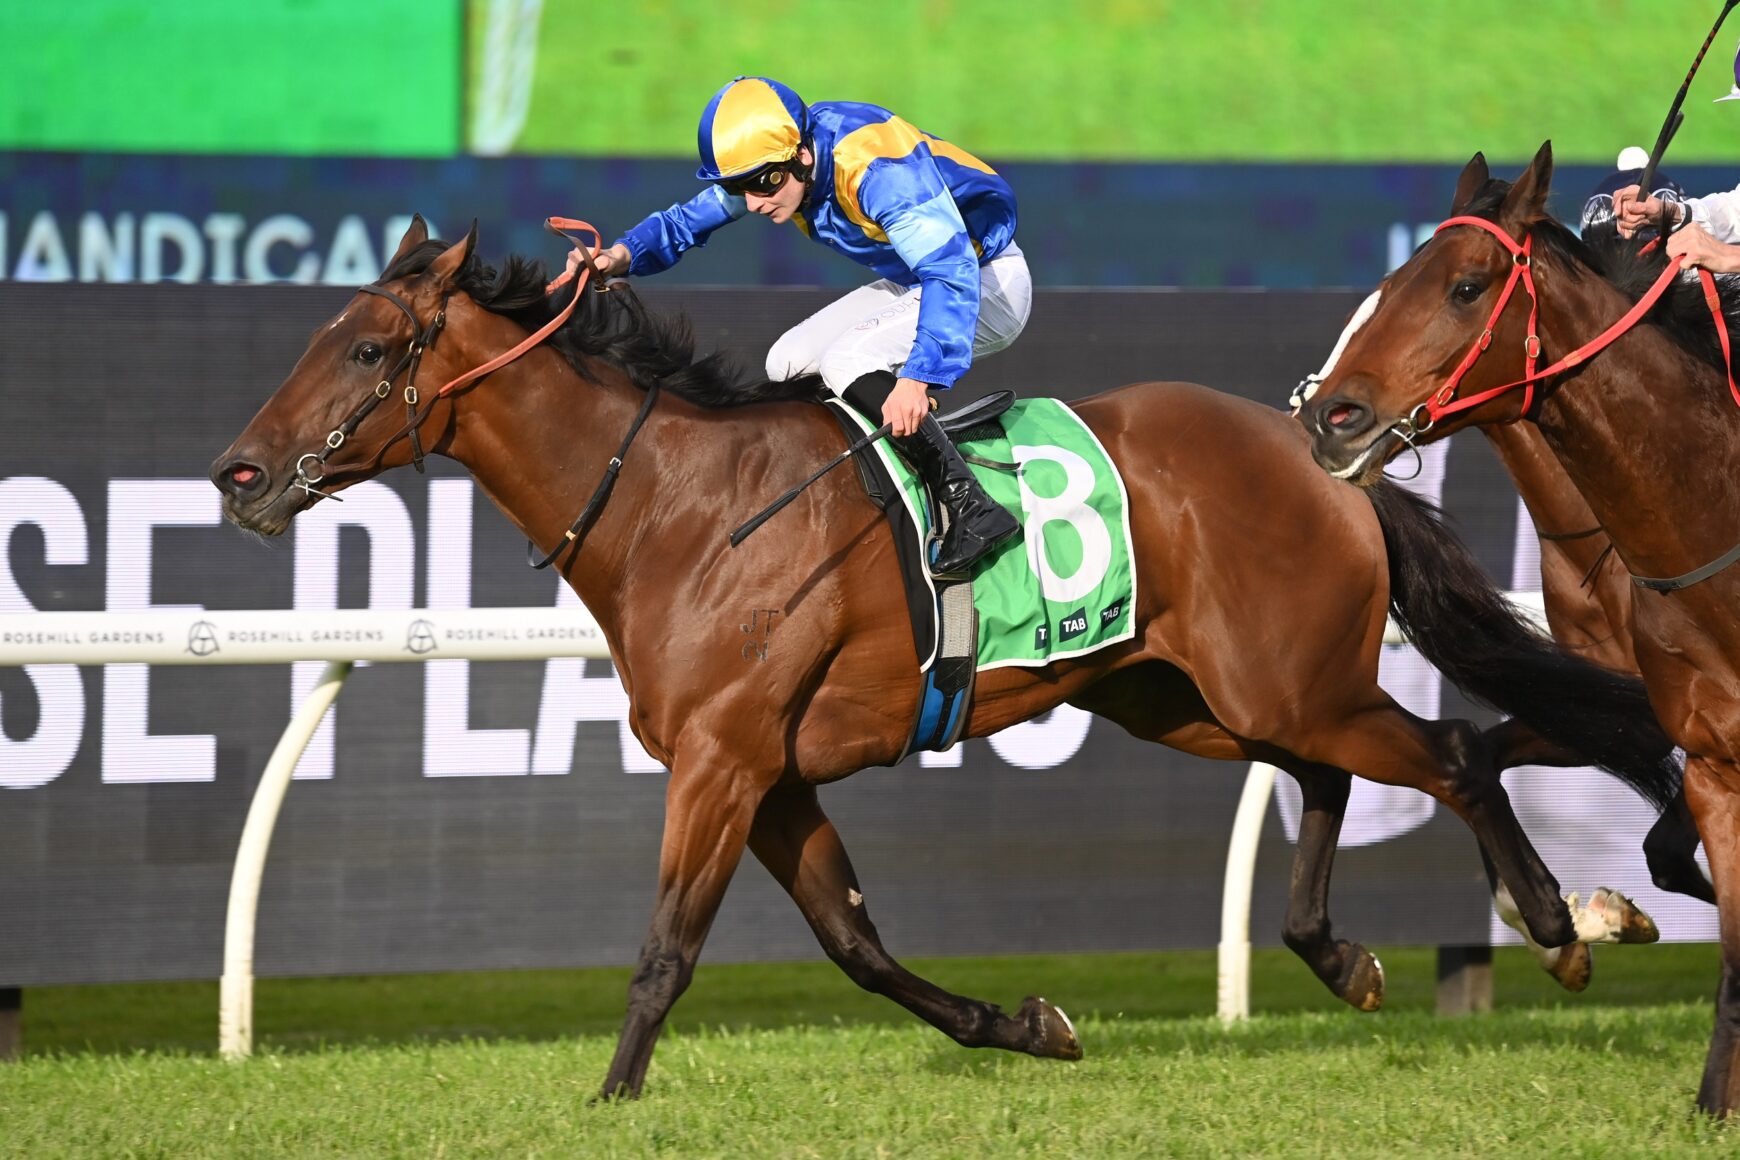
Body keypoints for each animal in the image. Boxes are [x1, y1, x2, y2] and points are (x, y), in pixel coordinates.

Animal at [212, 217, 1678, 1100]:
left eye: (370, 345)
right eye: (316, 333)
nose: (238, 474)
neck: (679, 507)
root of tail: (1319, 446)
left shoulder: (723, 758)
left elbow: (668, 947)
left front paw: (613, 1095)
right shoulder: (773, 774)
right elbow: (856, 943)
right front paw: (1027, 1024)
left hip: (1278, 679)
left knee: (1448, 751)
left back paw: (1564, 925)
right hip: (1189, 693)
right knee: (1329, 774)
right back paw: (1343, 954)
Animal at [1299, 142, 1740, 1117]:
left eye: (1467, 287)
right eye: (1389, 283)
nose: (1328, 416)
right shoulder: (1644, 714)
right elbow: (1495, 751)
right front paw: (1572, 925)